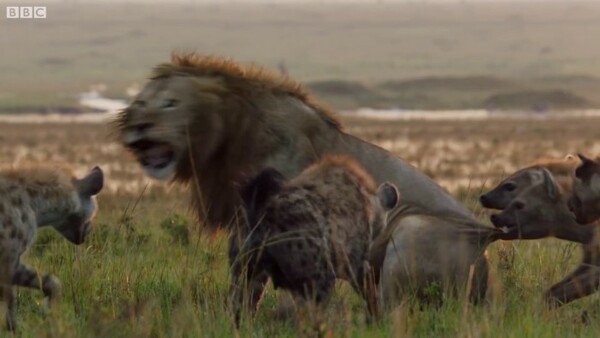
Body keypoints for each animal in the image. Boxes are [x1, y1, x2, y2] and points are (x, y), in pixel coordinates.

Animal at [115, 52, 500, 306]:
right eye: (141, 101)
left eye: (170, 103)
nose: (138, 126)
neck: (229, 137)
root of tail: (485, 241)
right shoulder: (244, 228)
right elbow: (242, 286)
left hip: (411, 228)